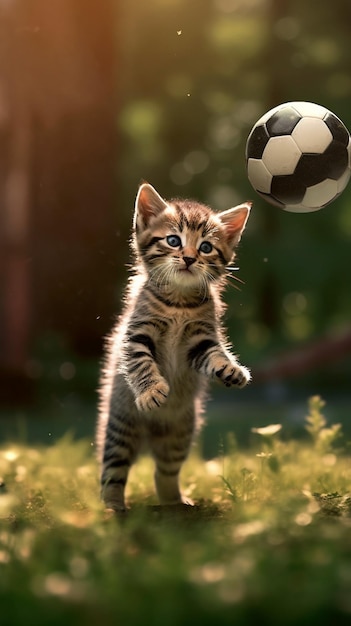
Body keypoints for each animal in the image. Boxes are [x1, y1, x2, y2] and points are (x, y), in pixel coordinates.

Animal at [96, 183, 252, 510]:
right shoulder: (135, 335)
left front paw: (231, 370)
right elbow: (141, 364)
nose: (190, 258)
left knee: (164, 472)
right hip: (120, 427)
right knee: (113, 470)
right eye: (173, 240)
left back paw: (174, 502)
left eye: (205, 247)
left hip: (181, 434)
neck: (179, 302)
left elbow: (215, 355)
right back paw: (112, 506)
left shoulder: (200, 341)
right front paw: (151, 391)